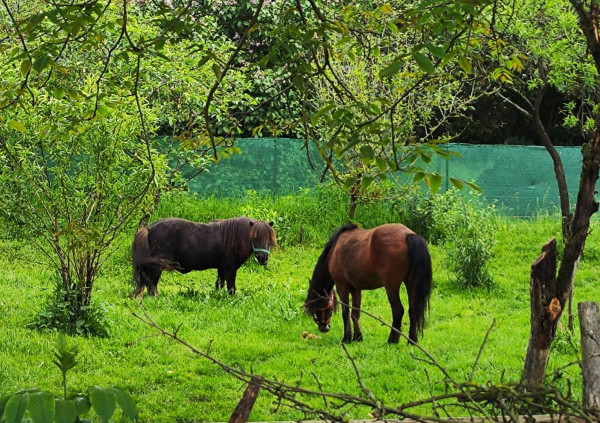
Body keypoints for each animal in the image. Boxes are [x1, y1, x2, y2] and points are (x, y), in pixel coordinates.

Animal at [131, 219, 276, 298]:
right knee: (151, 282)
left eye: (269, 238)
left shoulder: (221, 269)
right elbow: (231, 288)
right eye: (254, 237)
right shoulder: (230, 269)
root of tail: (148, 229)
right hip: (157, 266)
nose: (262, 258)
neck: (232, 238)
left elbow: (219, 284)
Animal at [304, 222, 432, 344]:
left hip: (391, 286)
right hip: (411, 284)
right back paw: (412, 341)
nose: (323, 328)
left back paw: (392, 339)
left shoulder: (342, 286)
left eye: (318, 305)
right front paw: (357, 337)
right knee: (413, 310)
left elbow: (346, 313)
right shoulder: (356, 289)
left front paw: (346, 338)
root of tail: (408, 235)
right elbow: (355, 313)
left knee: (398, 310)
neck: (334, 251)